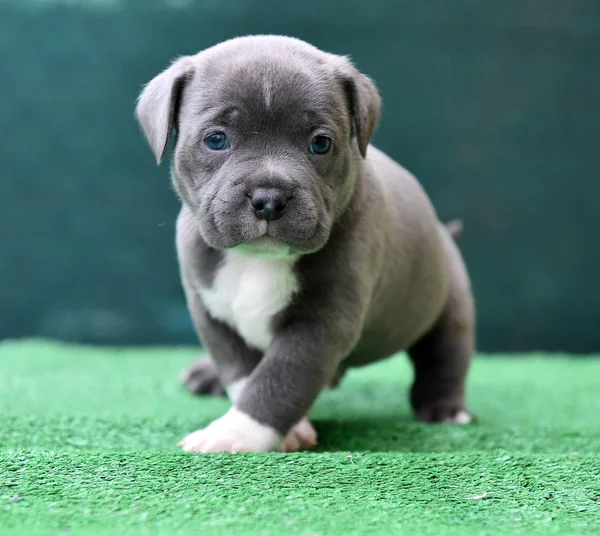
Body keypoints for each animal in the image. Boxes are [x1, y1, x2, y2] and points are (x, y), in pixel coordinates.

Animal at [135, 34, 474, 452]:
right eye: (216, 139)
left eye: (320, 144)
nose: (268, 198)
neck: (257, 260)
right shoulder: (212, 314)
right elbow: (243, 370)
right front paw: (271, 425)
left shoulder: (319, 326)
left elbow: (280, 378)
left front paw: (237, 433)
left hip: (450, 304)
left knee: (444, 359)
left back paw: (445, 408)